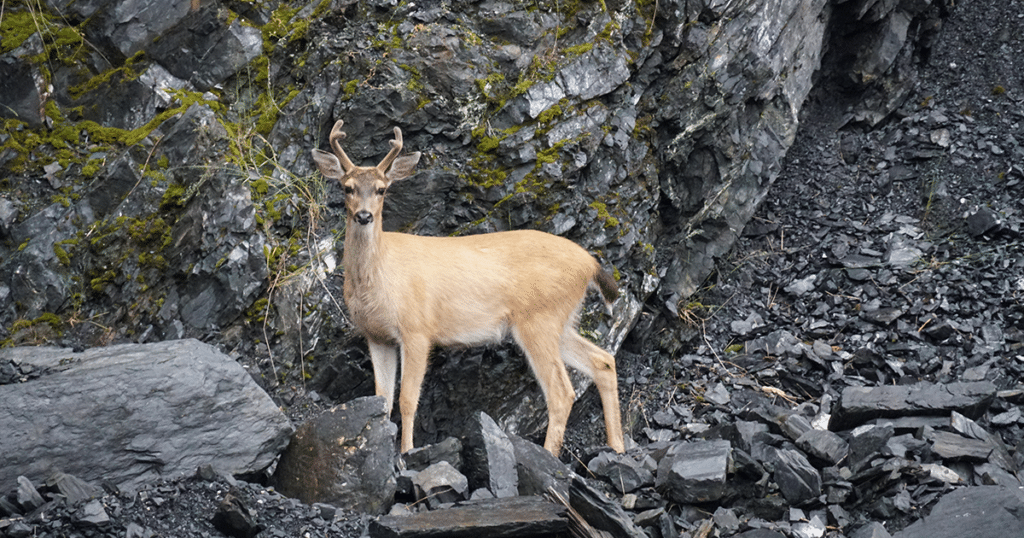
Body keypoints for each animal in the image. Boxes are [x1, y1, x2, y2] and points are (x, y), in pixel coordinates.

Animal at [311, 119, 622, 454]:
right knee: (603, 361)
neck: (379, 277)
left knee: (562, 392)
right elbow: (382, 399)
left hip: (539, 317)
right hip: (560, 320)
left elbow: (407, 399)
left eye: (382, 189)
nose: (364, 216)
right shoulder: (377, 335)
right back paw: (617, 447)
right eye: (348, 187)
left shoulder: (417, 329)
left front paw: (406, 451)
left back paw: (551, 454)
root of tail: (589, 263)